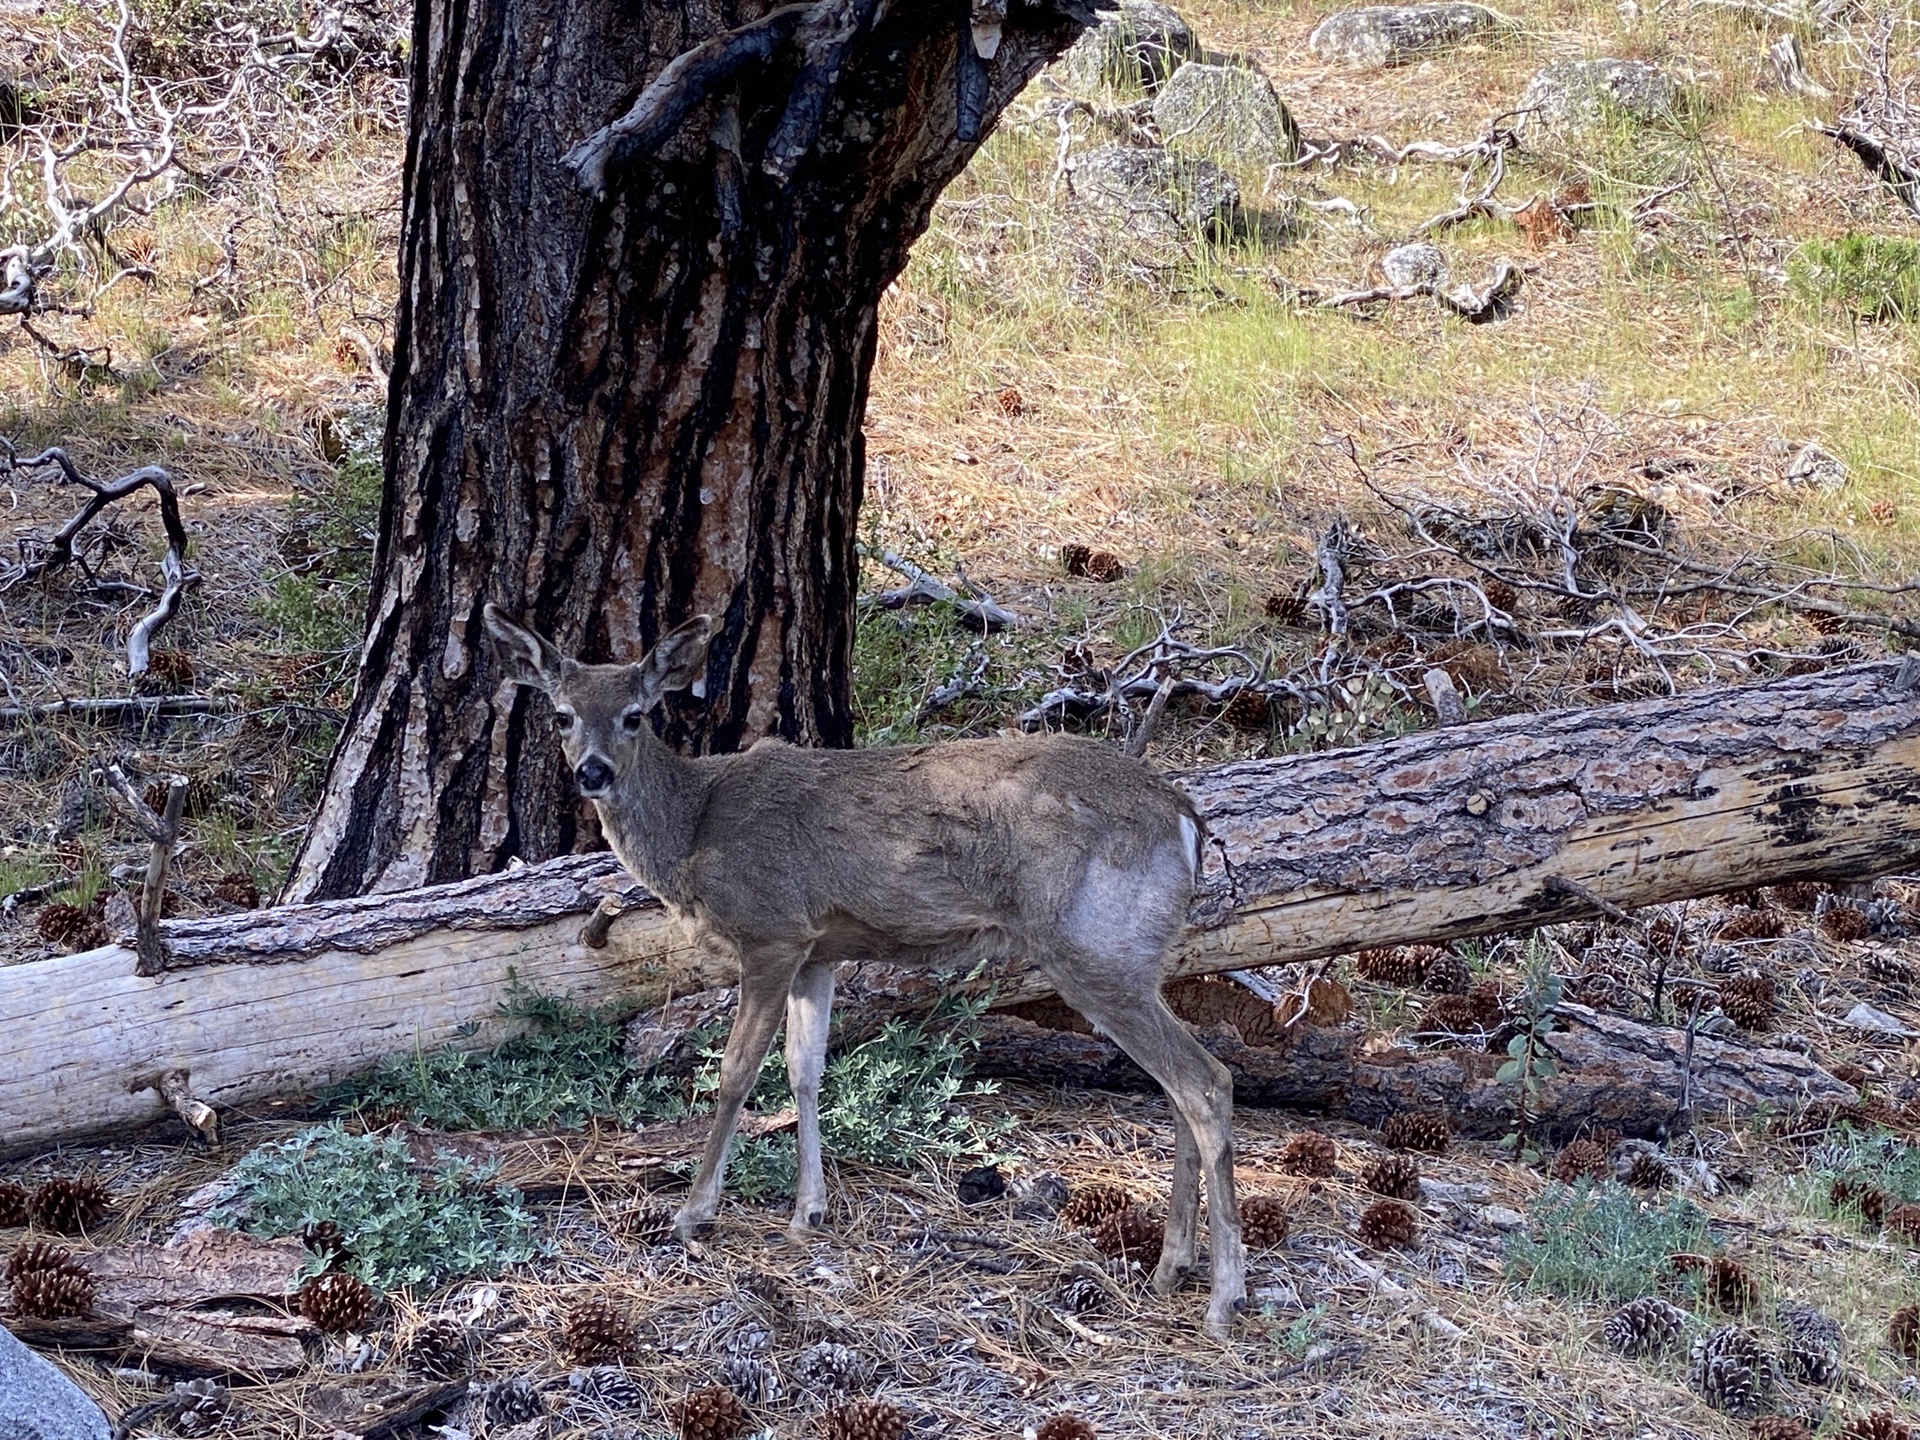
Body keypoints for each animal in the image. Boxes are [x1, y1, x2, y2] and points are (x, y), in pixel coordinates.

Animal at [487, 602, 1251, 1336]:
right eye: (562, 714)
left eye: (635, 715)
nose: (592, 772)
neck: (695, 832)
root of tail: (1187, 818)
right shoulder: (817, 950)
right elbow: (804, 1070)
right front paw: (808, 1212)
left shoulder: (771, 929)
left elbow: (735, 1073)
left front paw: (694, 1212)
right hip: (1135, 954)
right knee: (1179, 1087)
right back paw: (1170, 1267)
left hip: (1091, 946)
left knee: (1205, 1082)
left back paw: (1223, 1299)